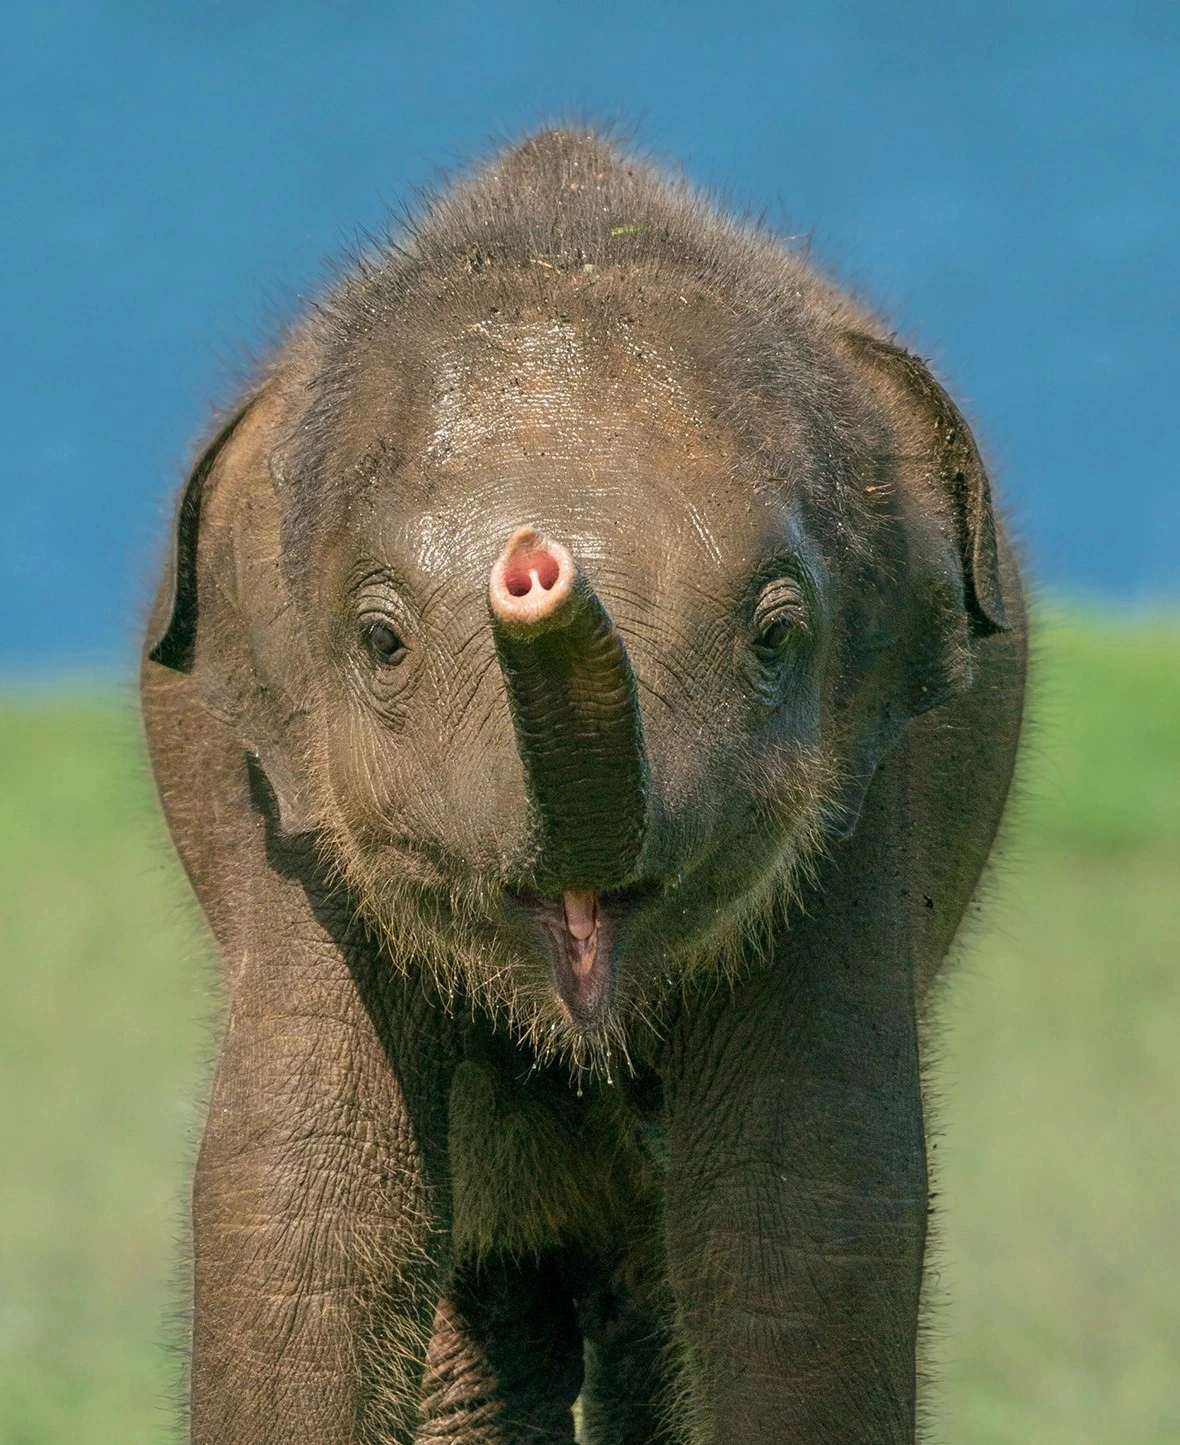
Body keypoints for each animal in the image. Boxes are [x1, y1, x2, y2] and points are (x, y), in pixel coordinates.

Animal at [141, 128, 1026, 1444]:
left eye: (777, 636)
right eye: (380, 640)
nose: (533, 564)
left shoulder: (868, 789)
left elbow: (796, 1211)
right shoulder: (283, 804)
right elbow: (306, 1203)